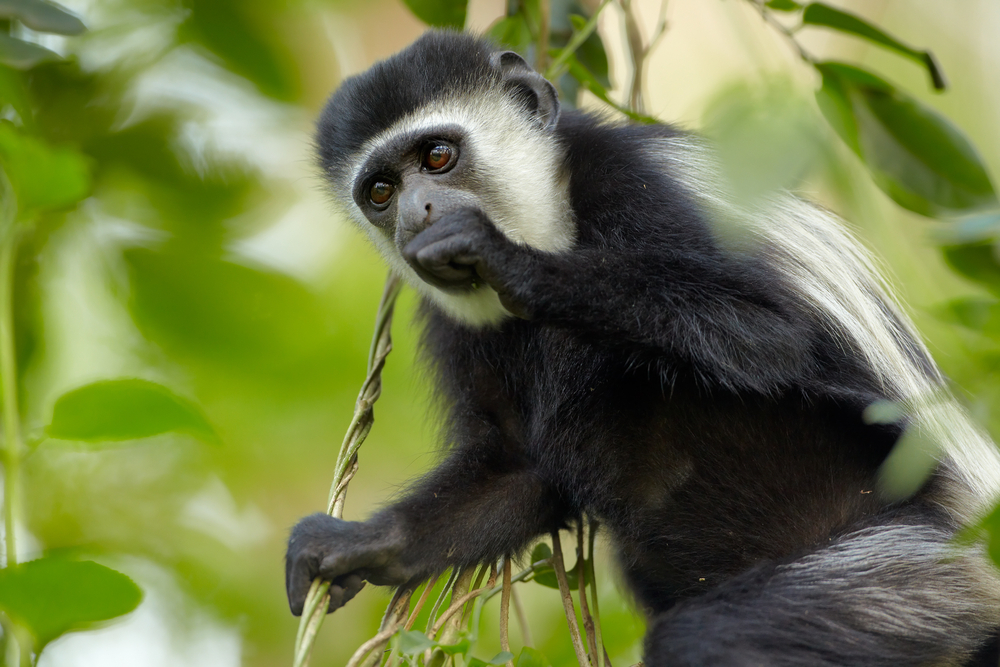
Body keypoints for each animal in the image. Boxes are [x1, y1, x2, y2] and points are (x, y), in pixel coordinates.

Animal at [284, 32, 1000, 667]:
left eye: (436, 157)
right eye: (381, 191)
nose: (416, 215)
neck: (551, 211)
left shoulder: (640, 188)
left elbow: (771, 335)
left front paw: (502, 255)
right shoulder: (452, 320)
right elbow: (514, 468)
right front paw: (354, 547)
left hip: (914, 571)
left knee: (711, 637)